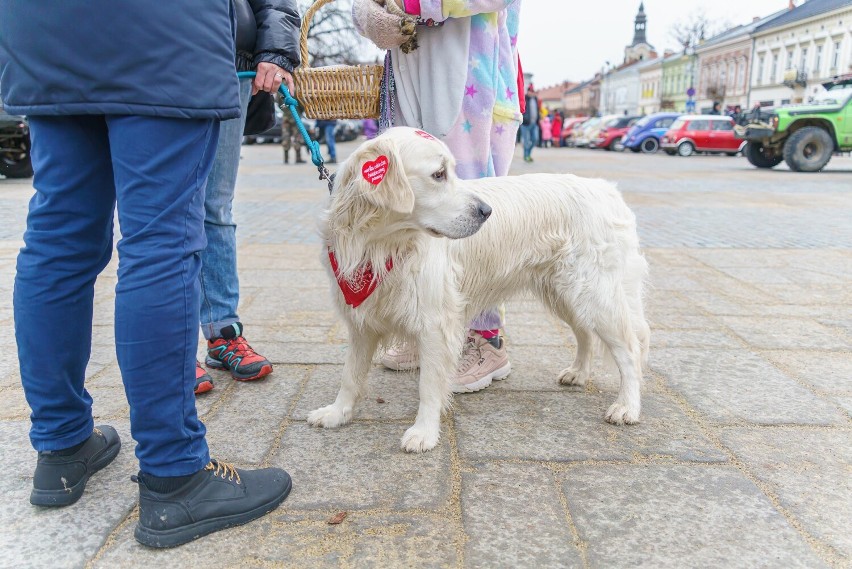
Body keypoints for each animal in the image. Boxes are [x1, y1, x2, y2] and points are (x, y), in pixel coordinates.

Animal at [310, 126, 648, 450]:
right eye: (439, 174)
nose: (486, 211)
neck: (380, 245)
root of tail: (607, 189)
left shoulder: (436, 323)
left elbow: (428, 385)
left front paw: (424, 432)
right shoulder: (361, 321)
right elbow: (350, 374)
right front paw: (337, 413)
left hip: (594, 294)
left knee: (630, 351)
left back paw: (627, 407)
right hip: (565, 294)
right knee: (584, 333)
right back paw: (578, 372)